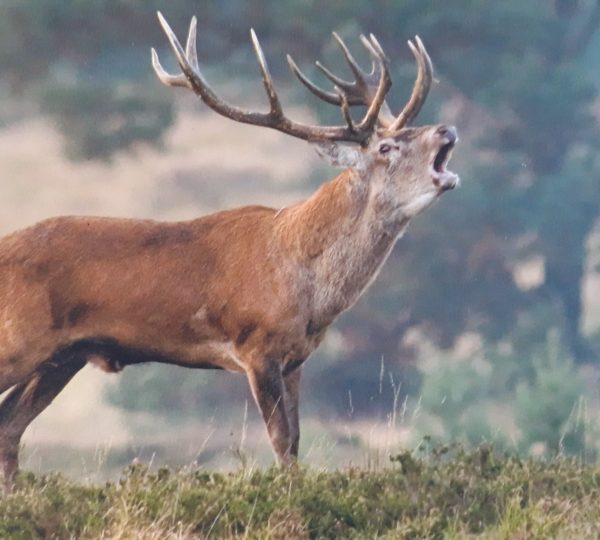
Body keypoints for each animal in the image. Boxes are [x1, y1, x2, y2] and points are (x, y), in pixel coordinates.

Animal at [0, 12, 460, 484]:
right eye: (387, 147)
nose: (447, 127)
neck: (309, 287)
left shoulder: (295, 359)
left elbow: (296, 441)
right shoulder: (256, 345)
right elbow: (281, 441)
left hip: (62, 357)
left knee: (9, 425)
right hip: (18, 338)